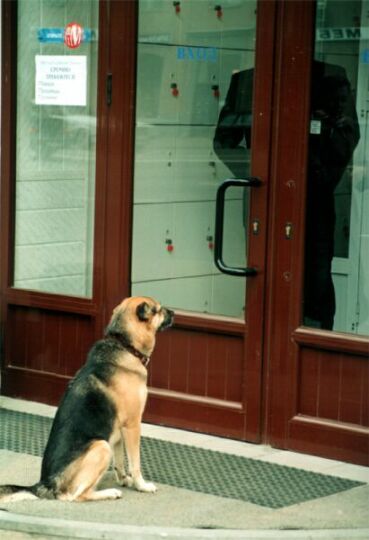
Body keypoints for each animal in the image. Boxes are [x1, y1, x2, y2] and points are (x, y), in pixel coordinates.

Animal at [0, 296, 173, 502]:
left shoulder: (117, 431)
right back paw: (110, 492)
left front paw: (125, 479)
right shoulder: (132, 425)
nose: (174, 313)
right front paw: (141, 485)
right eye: (158, 310)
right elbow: (135, 462)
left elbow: (120, 461)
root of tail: (46, 484)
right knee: (76, 496)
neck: (124, 345)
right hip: (101, 446)